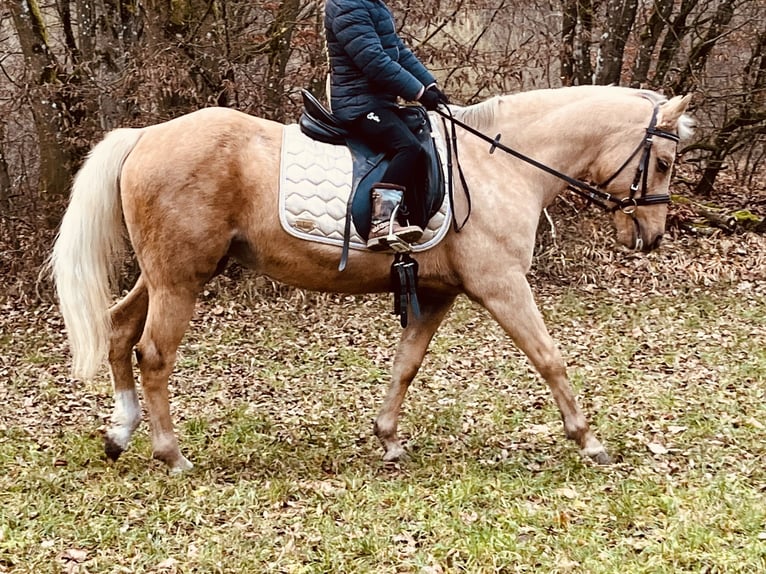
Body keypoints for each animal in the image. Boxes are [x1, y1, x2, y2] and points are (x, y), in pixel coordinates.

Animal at [48, 85, 696, 472]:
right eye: (663, 162)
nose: (652, 235)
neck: (499, 167)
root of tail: (145, 136)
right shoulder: (501, 285)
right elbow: (550, 357)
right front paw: (588, 439)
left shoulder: (436, 292)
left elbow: (406, 364)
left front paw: (388, 438)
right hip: (181, 280)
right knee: (153, 354)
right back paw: (170, 453)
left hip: (162, 276)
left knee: (118, 331)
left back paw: (120, 432)